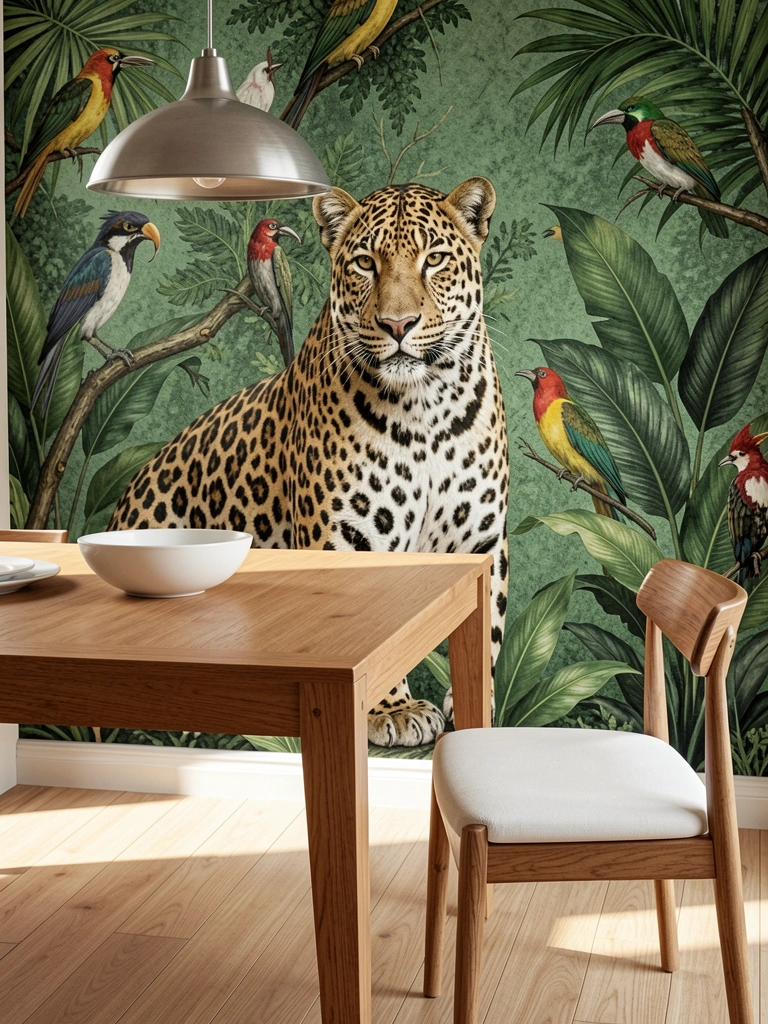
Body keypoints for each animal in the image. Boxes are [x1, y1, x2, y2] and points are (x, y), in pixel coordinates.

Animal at [109, 178, 510, 747]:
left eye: (434, 260)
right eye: (365, 263)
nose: (398, 324)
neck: (427, 407)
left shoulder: (481, 543)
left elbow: (487, 625)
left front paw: (479, 705)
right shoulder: (346, 542)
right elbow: (372, 632)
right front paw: (391, 710)